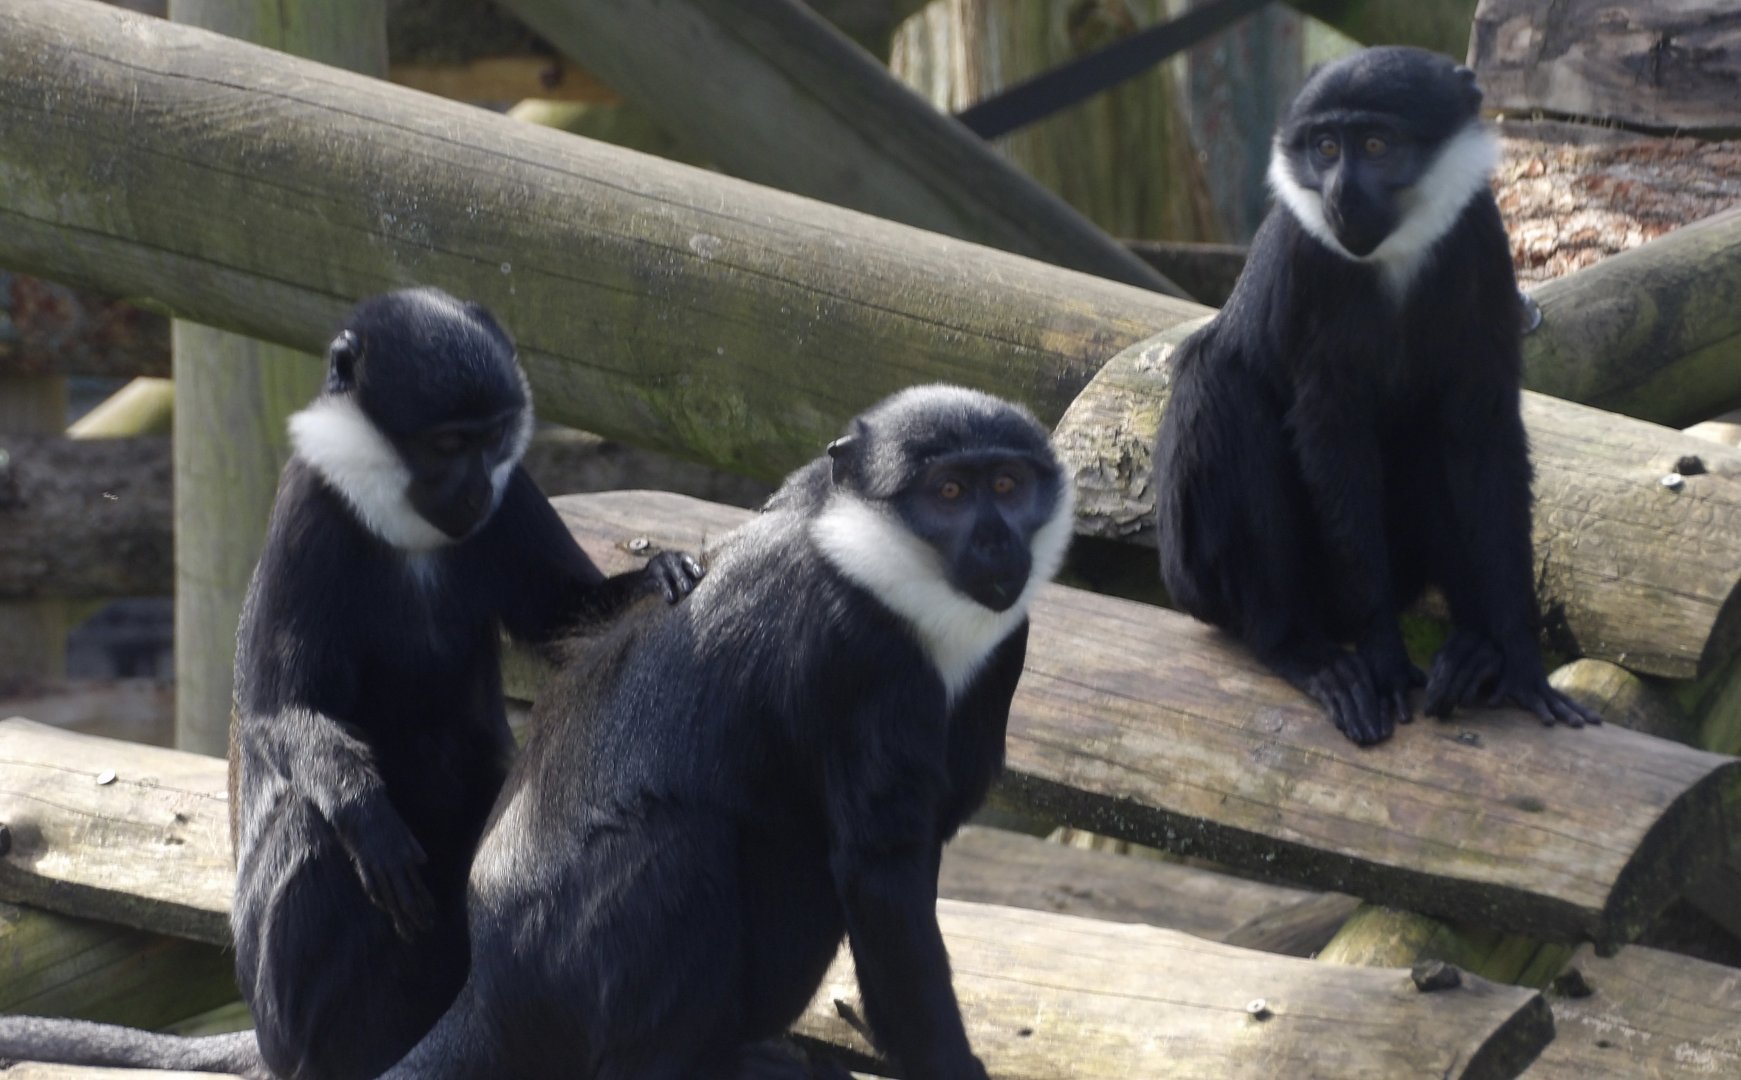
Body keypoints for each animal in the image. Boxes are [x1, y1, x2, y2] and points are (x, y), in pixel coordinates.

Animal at [0, 288, 702, 1079]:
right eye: (446, 444)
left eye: (492, 439)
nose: (472, 491)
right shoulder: (310, 509)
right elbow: (281, 710)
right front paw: (367, 815)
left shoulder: (512, 493)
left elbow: (559, 615)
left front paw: (659, 574)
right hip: (278, 993)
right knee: (312, 824)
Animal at [367, 384, 1074, 1079]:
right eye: (948, 492)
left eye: (1007, 484)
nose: (995, 542)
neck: (868, 554)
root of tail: (489, 990)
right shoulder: (860, 651)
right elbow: (881, 867)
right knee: (681, 839)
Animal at [1151, 46, 1598, 746]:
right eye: (1326, 148)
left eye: (1375, 144)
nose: (1339, 193)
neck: (1395, 251)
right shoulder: (1306, 261)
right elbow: (1331, 434)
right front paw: (1384, 656)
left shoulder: (1480, 239)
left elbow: (1482, 431)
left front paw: (1521, 662)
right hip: (1202, 573)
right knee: (1217, 380)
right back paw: (1295, 646)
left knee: (1428, 436)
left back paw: (1476, 653)